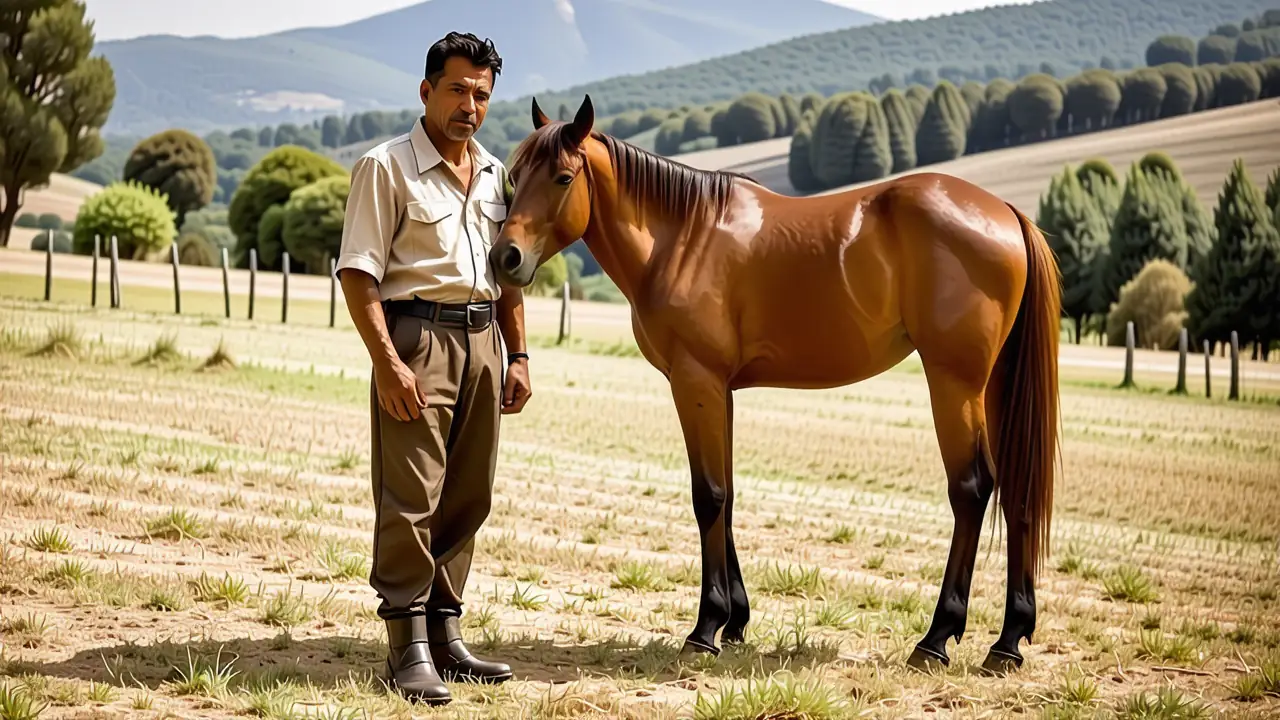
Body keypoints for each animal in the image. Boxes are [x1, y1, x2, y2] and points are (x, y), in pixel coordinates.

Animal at [487, 94, 1062, 675]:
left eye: (562, 177)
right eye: (515, 175)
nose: (504, 258)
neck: (682, 237)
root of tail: (1005, 213)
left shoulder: (695, 382)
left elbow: (708, 497)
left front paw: (705, 629)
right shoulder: (720, 390)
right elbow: (728, 496)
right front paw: (736, 621)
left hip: (954, 382)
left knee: (972, 489)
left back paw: (937, 638)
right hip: (995, 383)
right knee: (1015, 493)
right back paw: (1007, 642)